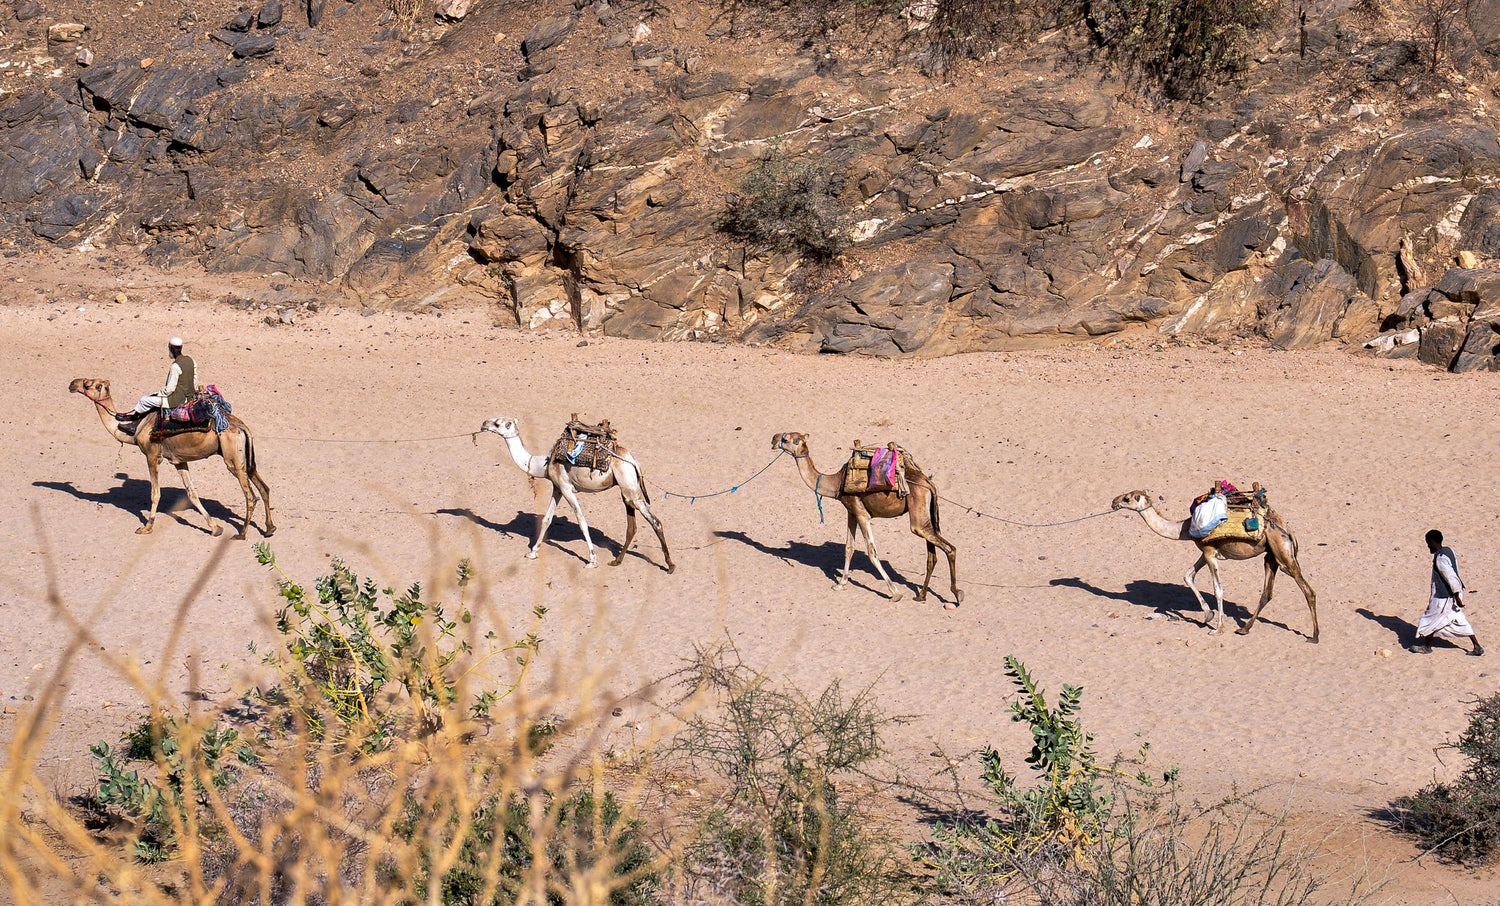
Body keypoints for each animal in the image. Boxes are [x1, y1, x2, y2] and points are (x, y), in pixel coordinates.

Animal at [68, 378, 274, 539]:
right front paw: (215, 528)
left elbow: (155, 493)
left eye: (88, 384)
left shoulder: (152, 455)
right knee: (264, 487)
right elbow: (192, 493)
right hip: (246, 459)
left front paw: (147, 527)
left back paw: (242, 534)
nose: (72, 384)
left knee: (250, 496)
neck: (137, 428)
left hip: (233, 460)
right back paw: (269, 529)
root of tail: (241, 427)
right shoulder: (179, 460)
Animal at [479, 416, 673, 573]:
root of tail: (632, 460)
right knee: (632, 526)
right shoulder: (557, 488)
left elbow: (582, 522)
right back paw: (617, 561)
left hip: (630, 487)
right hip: (625, 489)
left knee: (655, 521)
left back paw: (670, 566)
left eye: (498, 423)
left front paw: (592, 561)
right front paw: (533, 552)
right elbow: (547, 519)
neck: (542, 464)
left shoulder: (567, 489)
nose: (483, 423)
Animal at [772, 433, 961, 608]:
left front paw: (895, 593)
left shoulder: (862, 514)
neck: (836, 483)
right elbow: (849, 547)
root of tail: (928, 484)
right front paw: (840, 584)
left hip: (918, 513)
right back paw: (921, 595)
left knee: (948, 547)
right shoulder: (851, 511)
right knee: (932, 553)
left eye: (789, 439)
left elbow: (871, 552)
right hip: (925, 514)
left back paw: (957, 594)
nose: (774, 439)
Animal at [1110, 489, 1318, 642]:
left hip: (1283, 552)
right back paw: (1244, 629)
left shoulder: (1210, 553)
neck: (1185, 528)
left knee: (1307, 590)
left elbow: (1218, 589)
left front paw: (1217, 629)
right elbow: (1188, 575)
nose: (1114, 501)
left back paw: (1314, 637)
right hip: (1271, 556)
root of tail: (1287, 529)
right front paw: (1208, 615)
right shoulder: (1206, 551)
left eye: (1127, 498)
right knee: (1267, 592)